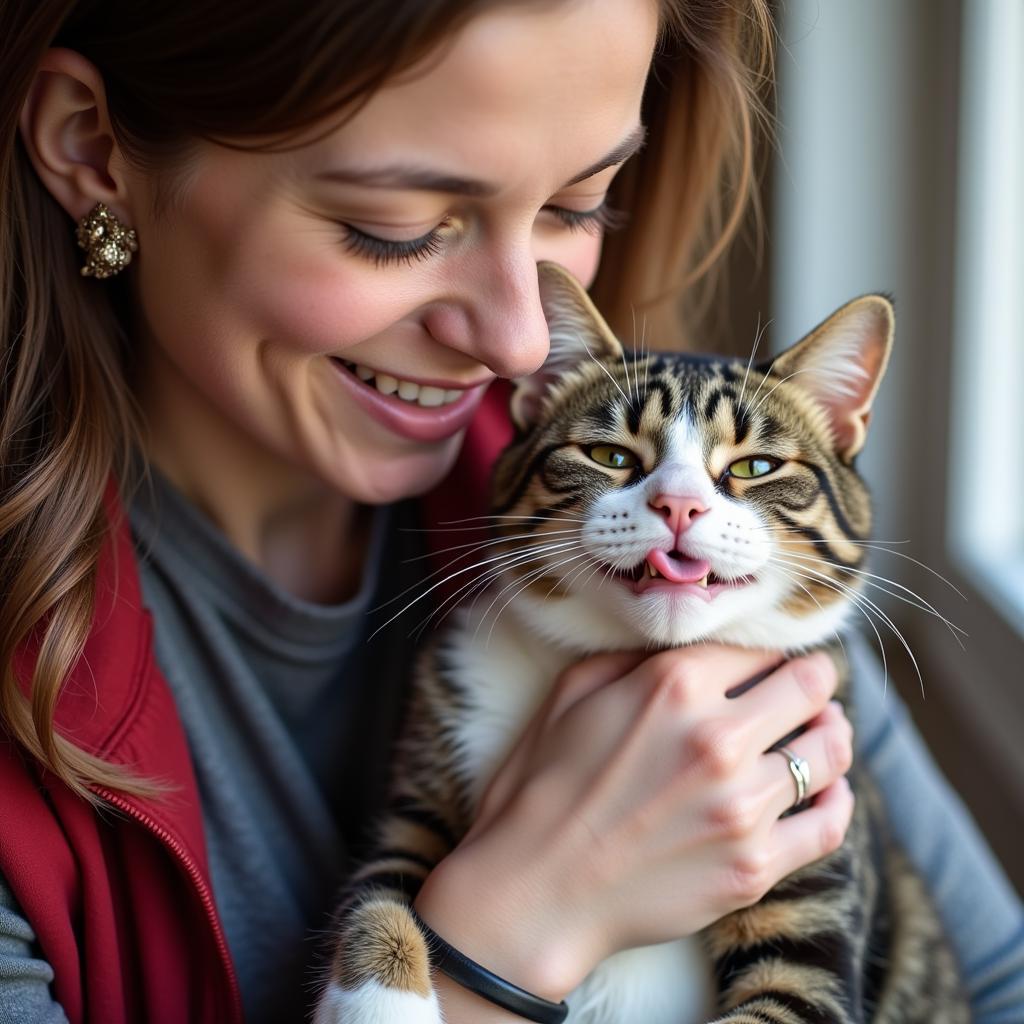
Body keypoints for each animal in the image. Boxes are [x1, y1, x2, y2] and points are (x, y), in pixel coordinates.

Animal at [313, 264, 966, 1024]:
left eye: (755, 467)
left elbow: (793, 989)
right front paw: (380, 1000)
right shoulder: (427, 772)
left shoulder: (817, 886)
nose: (678, 504)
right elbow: (382, 885)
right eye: (608, 455)